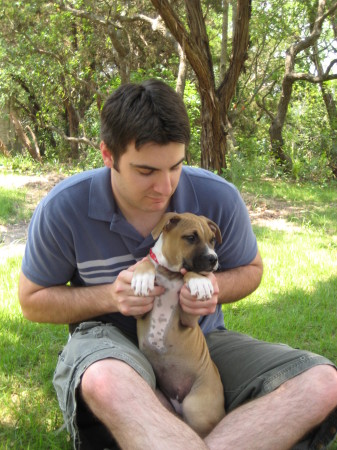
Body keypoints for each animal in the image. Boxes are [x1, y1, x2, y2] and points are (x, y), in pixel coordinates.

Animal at [133, 213, 224, 438]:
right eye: (191, 237)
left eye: (212, 240)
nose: (214, 259)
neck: (169, 273)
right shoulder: (139, 311)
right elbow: (146, 262)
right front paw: (142, 276)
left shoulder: (189, 318)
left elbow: (190, 273)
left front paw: (199, 281)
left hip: (195, 405)